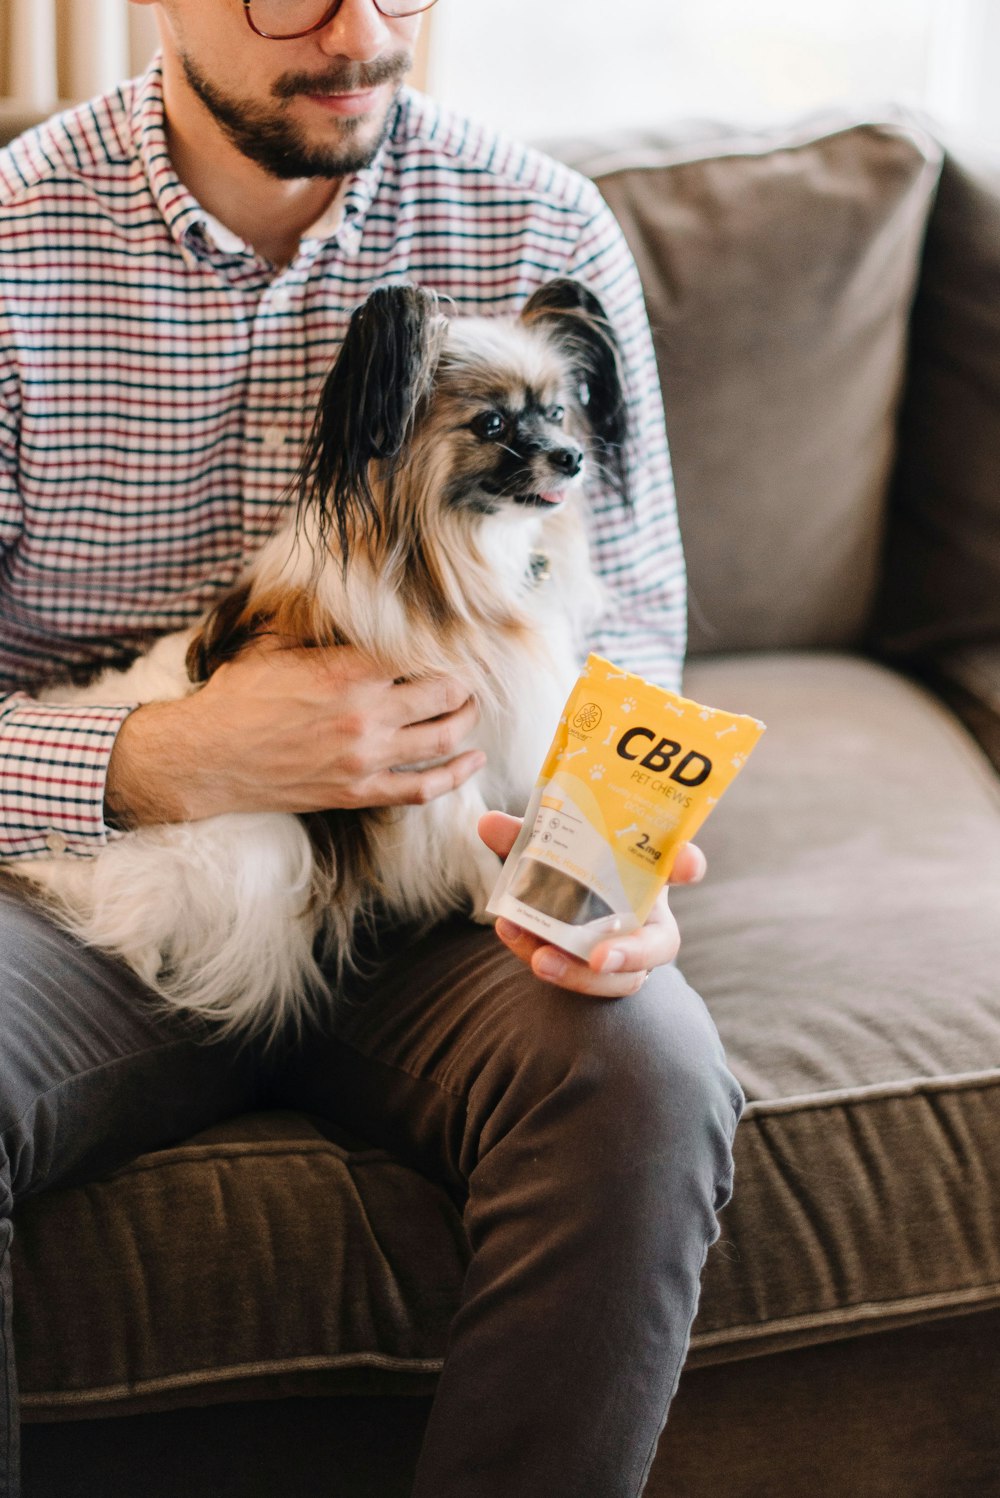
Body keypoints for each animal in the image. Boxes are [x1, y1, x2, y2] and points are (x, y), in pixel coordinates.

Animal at [7, 275, 628, 1036]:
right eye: (491, 426)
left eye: (558, 411)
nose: (571, 455)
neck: (447, 556)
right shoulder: (432, 753)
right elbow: (463, 829)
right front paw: (492, 902)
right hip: (248, 844)